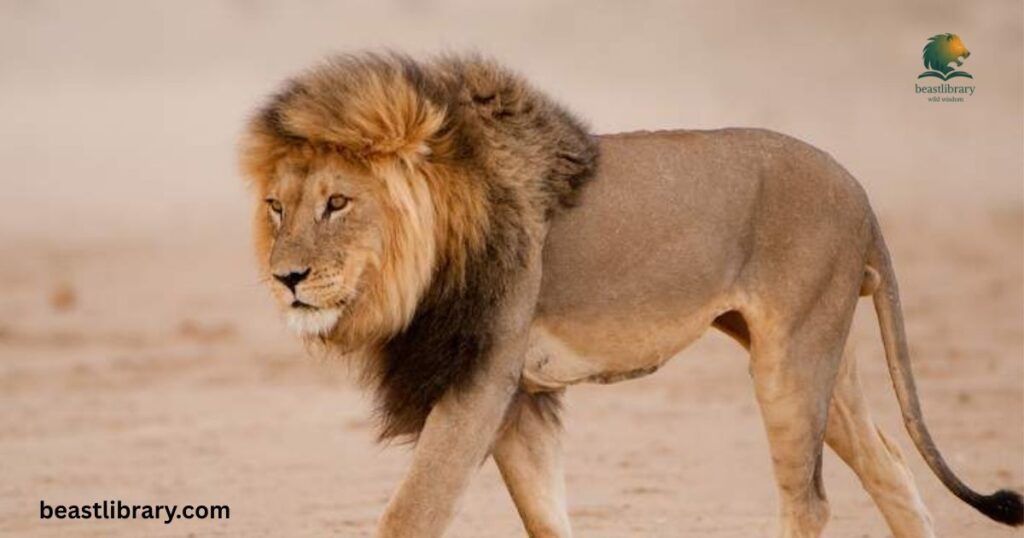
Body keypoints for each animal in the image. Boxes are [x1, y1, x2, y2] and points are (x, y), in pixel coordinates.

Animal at [239, 52, 1022, 537]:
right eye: (277, 208)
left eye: (337, 204)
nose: (287, 278)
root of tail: (861, 192)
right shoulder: (517, 397)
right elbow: (544, 516)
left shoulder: (482, 380)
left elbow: (412, 512)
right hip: (828, 354)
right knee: (891, 470)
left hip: (790, 362)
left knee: (809, 502)